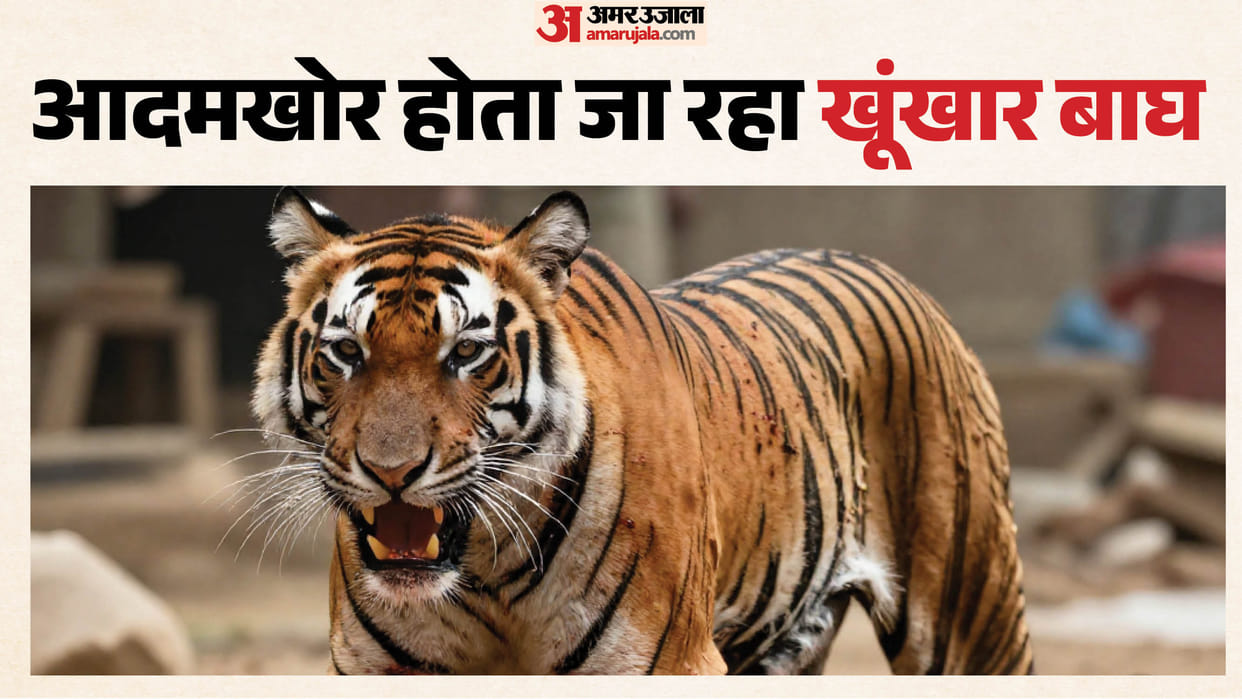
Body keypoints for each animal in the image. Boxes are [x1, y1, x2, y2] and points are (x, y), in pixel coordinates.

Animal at [251, 187, 1033, 675]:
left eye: (466, 351)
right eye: (346, 352)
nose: (390, 471)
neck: (488, 572)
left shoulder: (661, 658)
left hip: (973, 613)